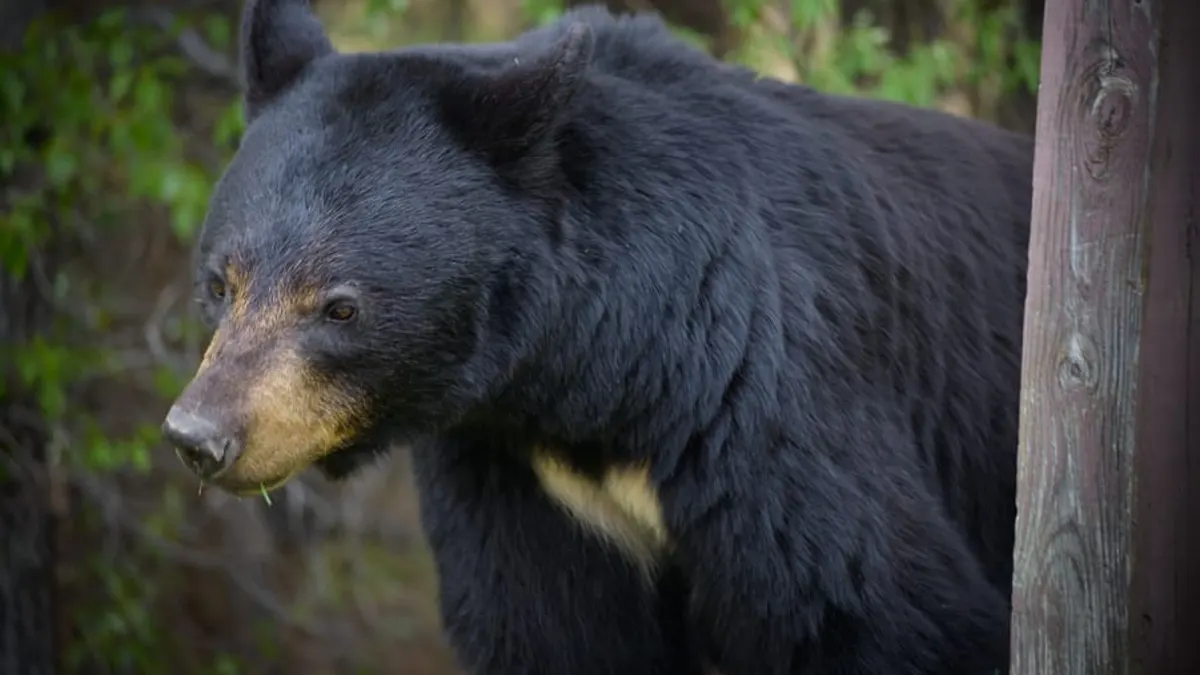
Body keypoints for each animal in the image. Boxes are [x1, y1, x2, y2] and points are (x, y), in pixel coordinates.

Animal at [160, 0, 1033, 673]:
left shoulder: (773, 404)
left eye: (339, 307)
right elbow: (546, 626)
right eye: (220, 282)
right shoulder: (510, 470)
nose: (199, 437)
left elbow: (870, 600)